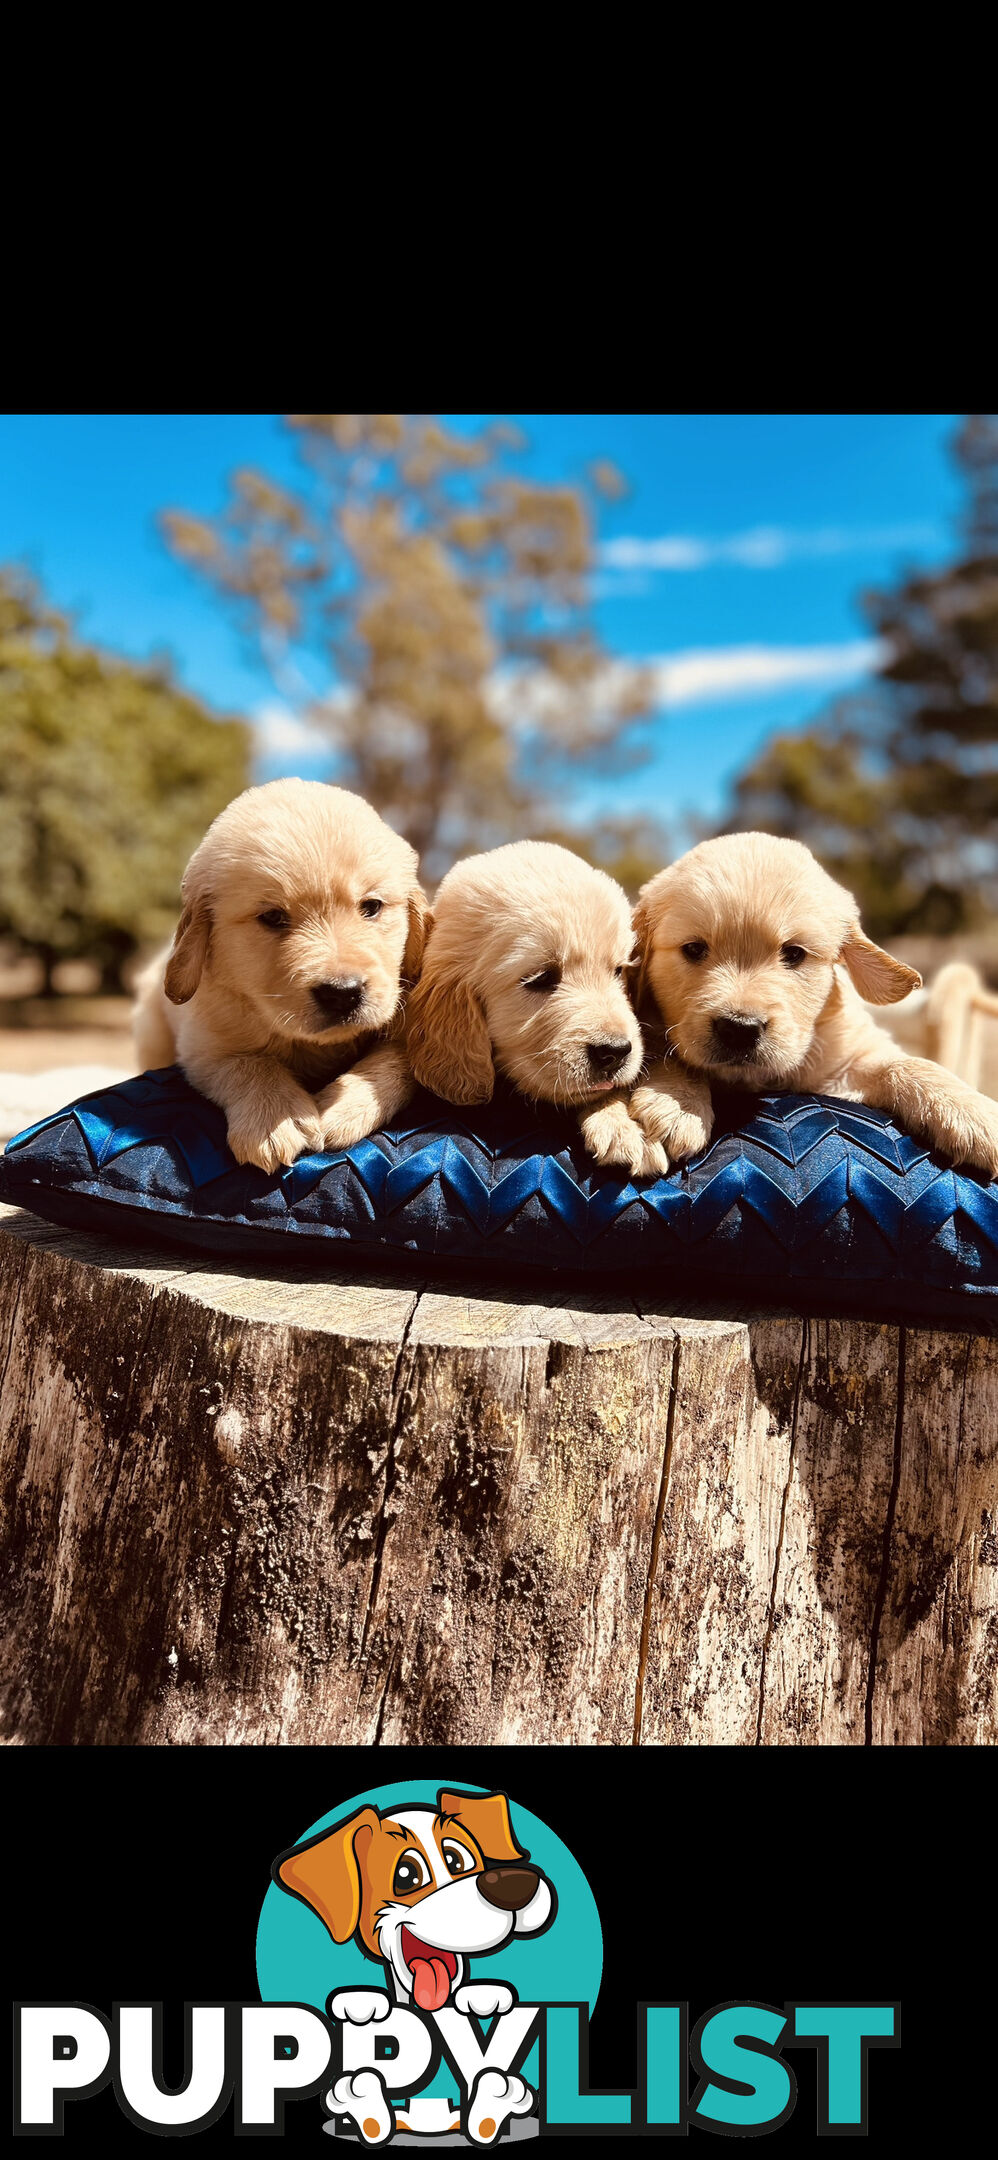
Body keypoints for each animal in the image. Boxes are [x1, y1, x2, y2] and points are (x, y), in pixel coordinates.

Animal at [133, 786, 429, 1175]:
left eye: (372, 907)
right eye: (272, 917)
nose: (343, 994)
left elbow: (400, 1058)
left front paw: (346, 1106)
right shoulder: (204, 1044)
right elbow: (249, 1063)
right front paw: (275, 1116)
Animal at [600, 829, 998, 1175]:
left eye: (794, 954)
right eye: (694, 949)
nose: (739, 1030)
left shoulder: (844, 1062)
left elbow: (908, 1064)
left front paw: (973, 1111)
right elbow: (669, 1052)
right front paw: (676, 1102)